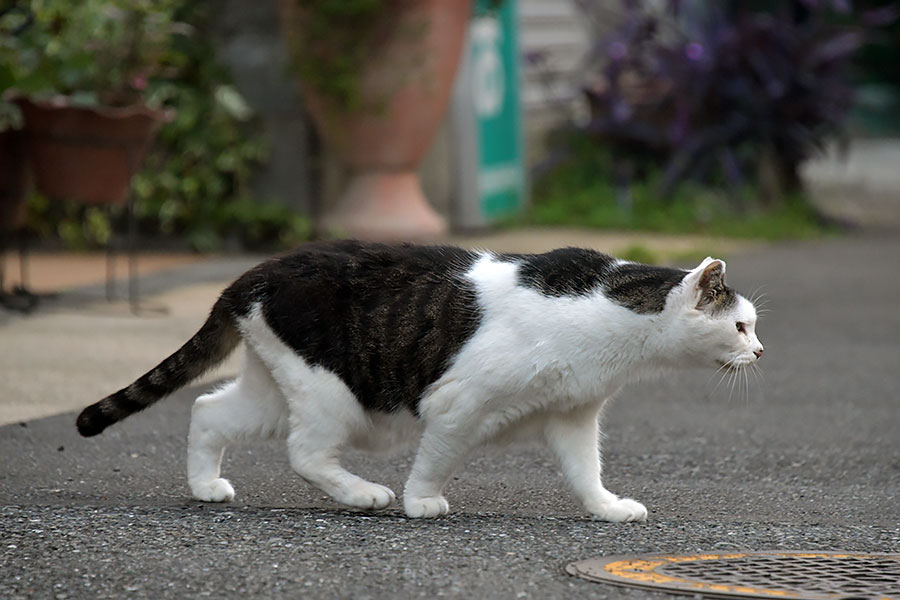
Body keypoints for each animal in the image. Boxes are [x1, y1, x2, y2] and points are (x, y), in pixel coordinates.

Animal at [79, 239, 768, 520]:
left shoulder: (572, 417)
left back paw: (205, 487)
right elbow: (437, 459)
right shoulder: (459, 405)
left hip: (278, 389)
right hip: (334, 398)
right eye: (739, 326)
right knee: (305, 453)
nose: (760, 352)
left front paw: (605, 508)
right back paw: (366, 495)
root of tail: (255, 273)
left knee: (207, 410)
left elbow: (584, 472)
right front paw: (420, 502)